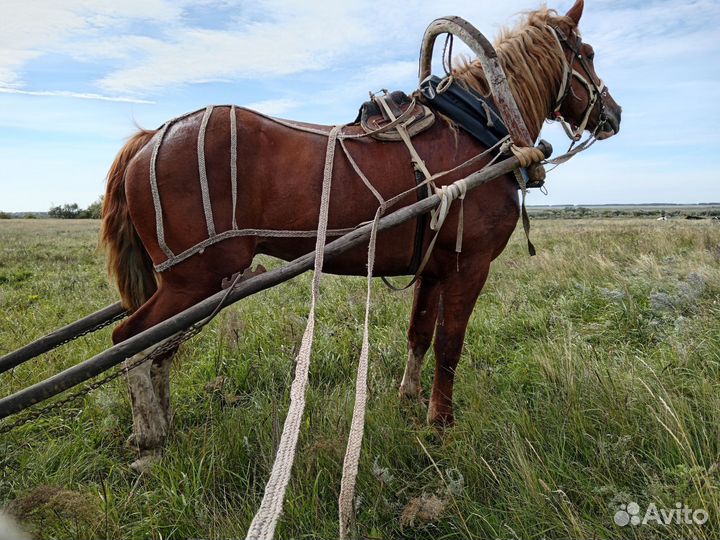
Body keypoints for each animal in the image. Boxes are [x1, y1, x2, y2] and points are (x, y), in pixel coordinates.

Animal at [100, 0, 621, 468]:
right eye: (587, 53)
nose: (613, 114)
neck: (481, 125)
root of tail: (148, 139)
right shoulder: (468, 266)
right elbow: (450, 345)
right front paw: (441, 424)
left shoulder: (433, 269)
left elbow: (419, 334)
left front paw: (410, 400)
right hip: (195, 279)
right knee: (130, 341)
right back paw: (149, 438)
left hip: (194, 284)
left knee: (159, 351)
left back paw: (162, 426)